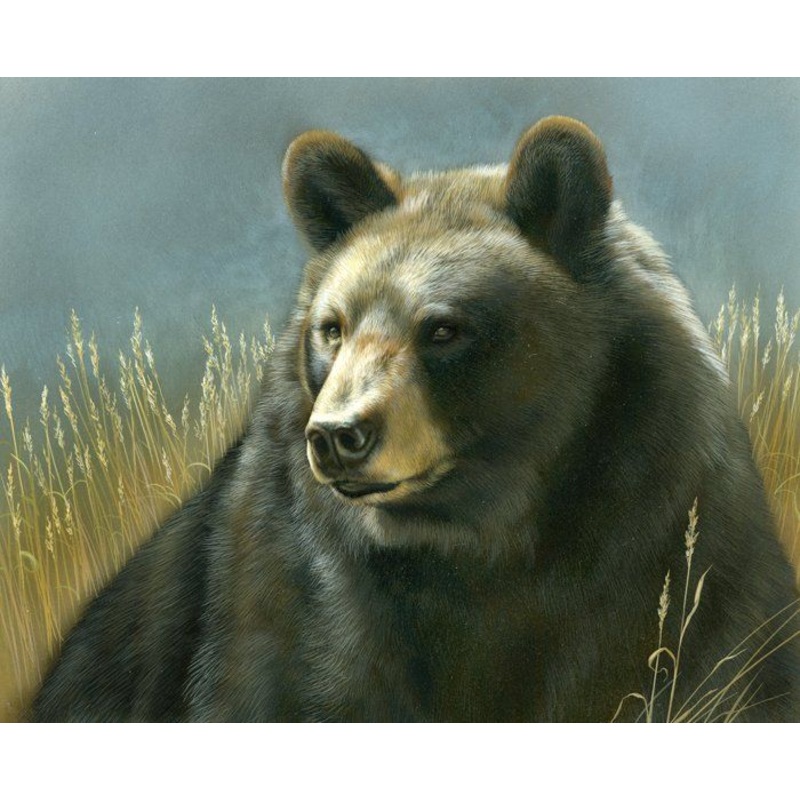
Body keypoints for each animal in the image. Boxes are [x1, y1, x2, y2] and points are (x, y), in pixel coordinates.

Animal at [31, 116, 800, 722]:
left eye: (443, 329)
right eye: (332, 327)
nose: (337, 436)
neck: (479, 534)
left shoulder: (675, 542)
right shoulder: (291, 587)